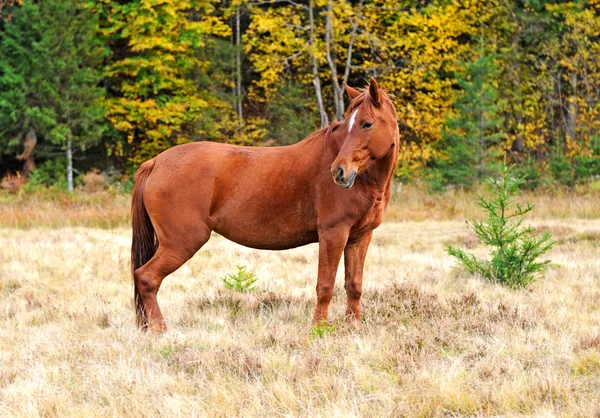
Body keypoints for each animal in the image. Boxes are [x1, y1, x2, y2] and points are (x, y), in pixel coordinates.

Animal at [133, 79, 400, 334]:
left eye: (366, 124)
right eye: (348, 125)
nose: (339, 172)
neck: (365, 180)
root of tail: (155, 162)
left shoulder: (359, 237)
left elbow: (354, 285)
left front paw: (353, 327)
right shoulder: (333, 233)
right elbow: (325, 285)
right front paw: (319, 329)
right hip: (181, 243)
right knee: (146, 278)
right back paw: (160, 331)